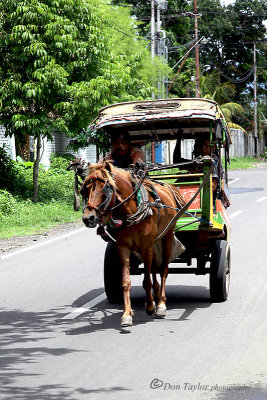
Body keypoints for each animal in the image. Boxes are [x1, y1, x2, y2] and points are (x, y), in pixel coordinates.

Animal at [81, 162, 186, 328]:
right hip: (154, 241)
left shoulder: (145, 246)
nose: (88, 218)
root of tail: (169, 187)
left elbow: (147, 280)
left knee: (163, 269)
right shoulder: (123, 246)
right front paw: (126, 315)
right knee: (155, 265)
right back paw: (157, 293)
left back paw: (161, 303)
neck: (131, 210)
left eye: (105, 189)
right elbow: (126, 281)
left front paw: (150, 306)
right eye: (85, 189)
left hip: (167, 235)